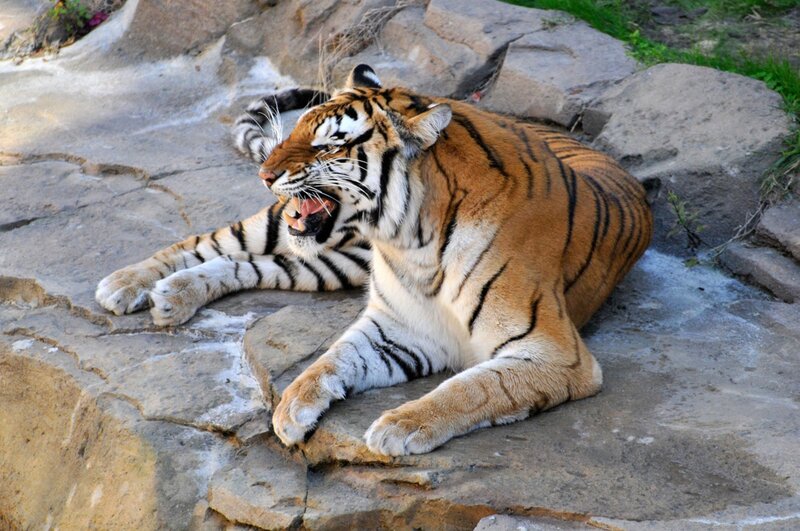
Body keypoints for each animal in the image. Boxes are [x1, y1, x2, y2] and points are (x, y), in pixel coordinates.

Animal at [96, 64, 653, 456]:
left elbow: (474, 387)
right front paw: (292, 406)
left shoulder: (555, 354)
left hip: (328, 264)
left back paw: (172, 295)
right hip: (286, 228)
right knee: (209, 241)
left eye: (329, 146)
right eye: (297, 131)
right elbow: (332, 357)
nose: (266, 173)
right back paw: (128, 284)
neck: (413, 242)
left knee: (251, 265)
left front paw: (398, 426)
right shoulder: (397, 325)